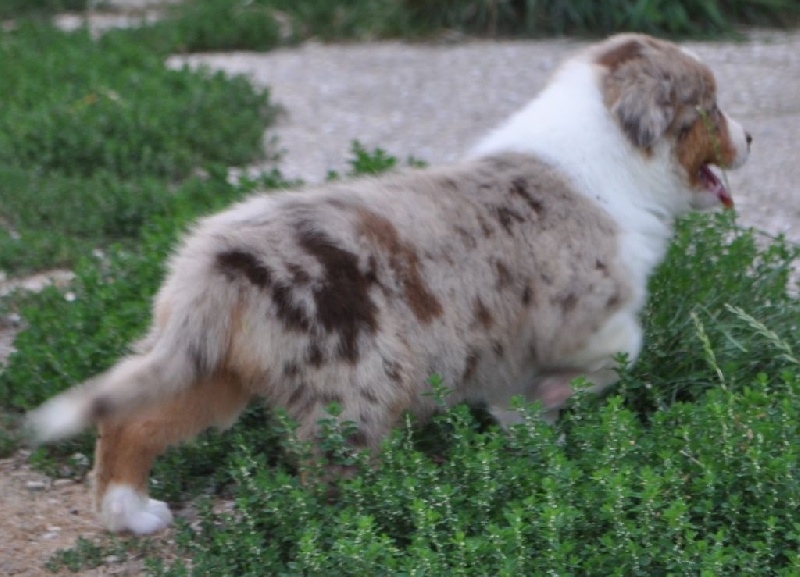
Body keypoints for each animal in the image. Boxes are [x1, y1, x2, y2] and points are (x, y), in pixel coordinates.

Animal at [25, 33, 752, 532]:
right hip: (359, 380)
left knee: (132, 420)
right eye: (712, 108)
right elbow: (624, 350)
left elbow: (523, 402)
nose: (751, 136)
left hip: (213, 366)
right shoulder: (583, 308)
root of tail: (213, 261)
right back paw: (374, 525)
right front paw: (555, 397)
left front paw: (531, 438)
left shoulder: (511, 345)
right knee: (327, 481)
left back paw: (129, 511)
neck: (607, 154)